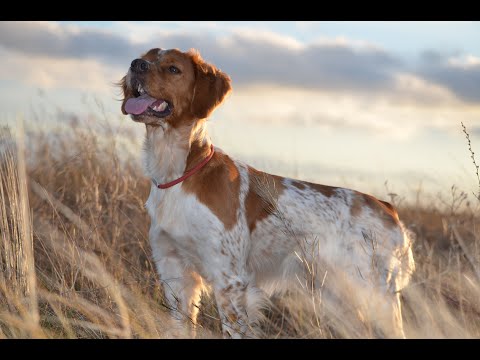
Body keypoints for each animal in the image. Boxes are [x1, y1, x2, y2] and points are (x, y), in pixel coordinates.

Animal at [119, 47, 412, 338]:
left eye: (173, 69)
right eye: (146, 57)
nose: (136, 65)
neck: (178, 174)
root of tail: (387, 208)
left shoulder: (230, 279)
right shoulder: (175, 272)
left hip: (373, 294)